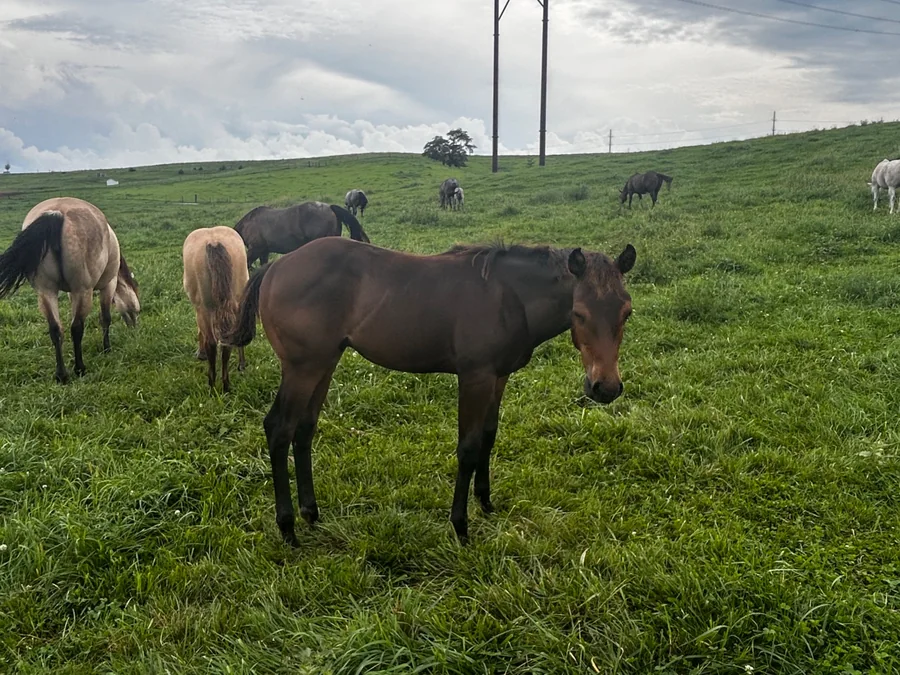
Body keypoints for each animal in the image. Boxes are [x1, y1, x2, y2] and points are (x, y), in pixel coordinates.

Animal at [0, 196, 140, 383]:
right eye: (136, 308)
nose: (134, 328)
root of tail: (57, 214)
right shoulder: (107, 285)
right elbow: (105, 318)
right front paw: (106, 349)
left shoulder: (69, 293)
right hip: (83, 290)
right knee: (76, 328)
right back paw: (80, 368)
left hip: (46, 291)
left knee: (55, 329)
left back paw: (61, 375)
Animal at [182, 226, 249, 392]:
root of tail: (213, 242)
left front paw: (201, 354)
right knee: (228, 342)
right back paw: (226, 385)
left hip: (204, 309)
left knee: (212, 344)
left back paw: (212, 387)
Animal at [224, 236, 636, 546]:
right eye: (579, 312)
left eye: (626, 312)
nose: (605, 387)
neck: (510, 296)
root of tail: (274, 267)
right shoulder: (475, 376)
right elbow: (468, 447)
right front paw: (461, 526)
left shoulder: (498, 376)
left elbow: (488, 437)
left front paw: (486, 503)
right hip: (302, 367)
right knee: (279, 429)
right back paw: (288, 528)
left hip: (323, 363)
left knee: (304, 430)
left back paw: (311, 513)